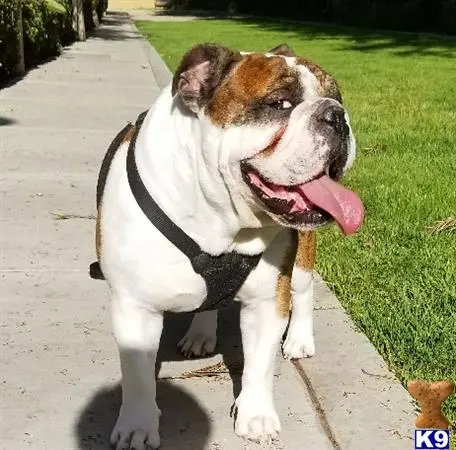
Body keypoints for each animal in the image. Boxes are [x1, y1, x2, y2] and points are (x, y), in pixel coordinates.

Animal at [94, 43, 366, 450]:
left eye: (337, 97)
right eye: (280, 103)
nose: (337, 115)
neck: (221, 218)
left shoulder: (268, 302)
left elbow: (259, 364)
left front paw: (255, 416)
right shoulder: (134, 307)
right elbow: (138, 374)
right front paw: (137, 425)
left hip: (300, 260)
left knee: (303, 291)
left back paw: (299, 339)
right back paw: (201, 335)